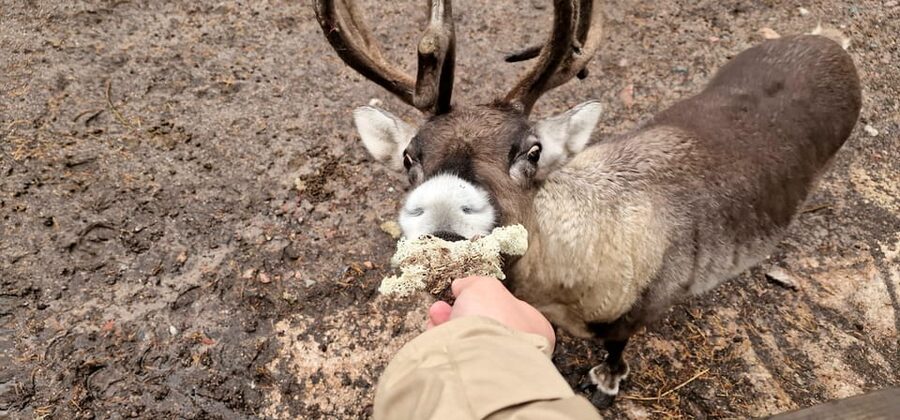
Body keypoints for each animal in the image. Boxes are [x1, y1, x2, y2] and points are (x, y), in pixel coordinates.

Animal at [314, 0, 861, 405]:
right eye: (410, 156)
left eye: (532, 150)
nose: (443, 211)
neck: (559, 287)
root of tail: (829, 43)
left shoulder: (644, 306)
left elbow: (617, 346)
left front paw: (607, 381)